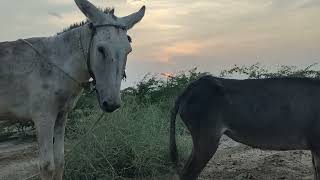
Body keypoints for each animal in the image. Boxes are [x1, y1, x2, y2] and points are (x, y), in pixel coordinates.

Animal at [0, 0, 145, 179]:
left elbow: (60, 161)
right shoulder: (43, 117)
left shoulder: (61, 115)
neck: (59, 63)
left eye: (128, 50)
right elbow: (47, 166)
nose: (112, 104)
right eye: (101, 49)